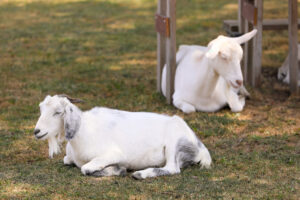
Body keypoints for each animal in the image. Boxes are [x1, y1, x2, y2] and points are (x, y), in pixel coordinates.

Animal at [34, 94, 211, 179]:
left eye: (58, 112)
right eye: (41, 108)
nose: (37, 131)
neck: (83, 130)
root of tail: (201, 148)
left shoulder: (113, 154)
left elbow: (85, 168)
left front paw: (119, 170)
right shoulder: (69, 158)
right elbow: (66, 160)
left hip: (174, 143)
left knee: (172, 168)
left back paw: (140, 174)